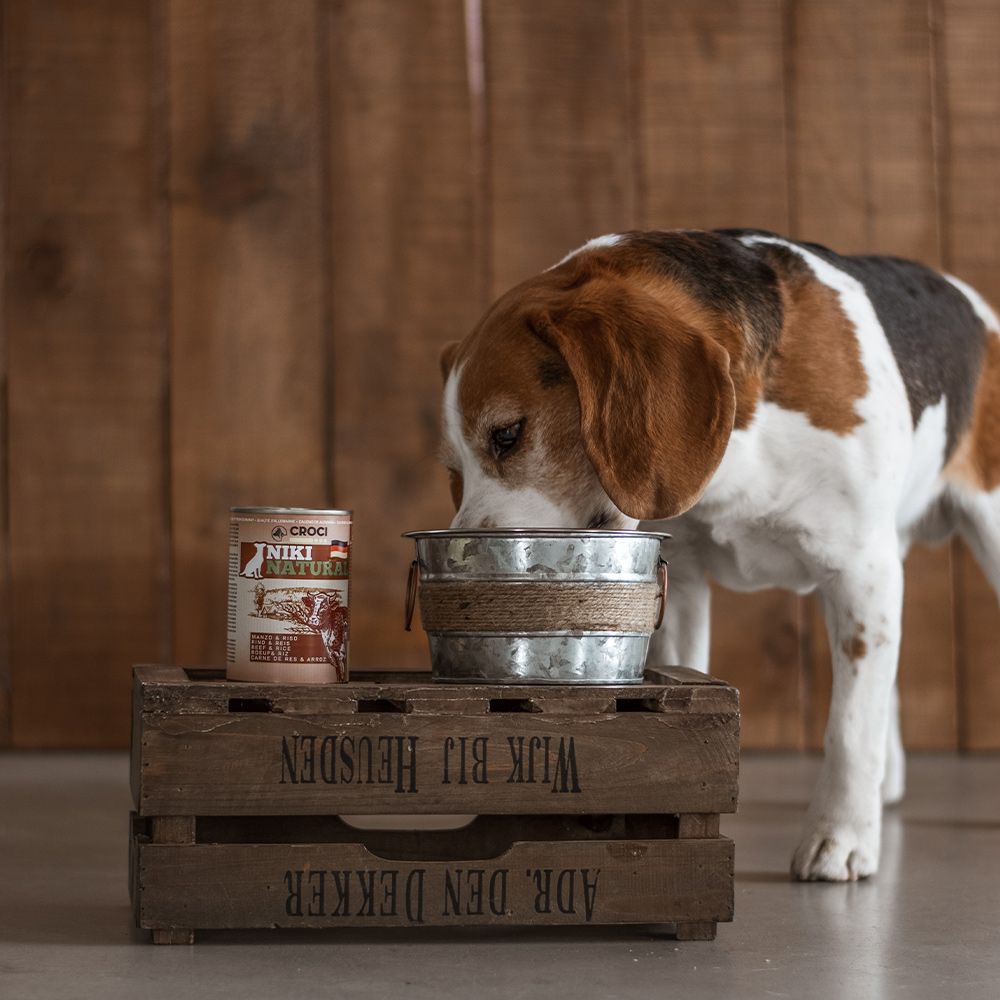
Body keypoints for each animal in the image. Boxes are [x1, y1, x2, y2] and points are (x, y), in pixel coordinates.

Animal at [440, 229, 1000, 884]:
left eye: (507, 435)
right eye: (453, 473)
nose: (465, 559)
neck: (743, 440)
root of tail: (971, 301)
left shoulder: (861, 569)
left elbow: (849, 726)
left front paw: (839, 837)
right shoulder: (680, 582)